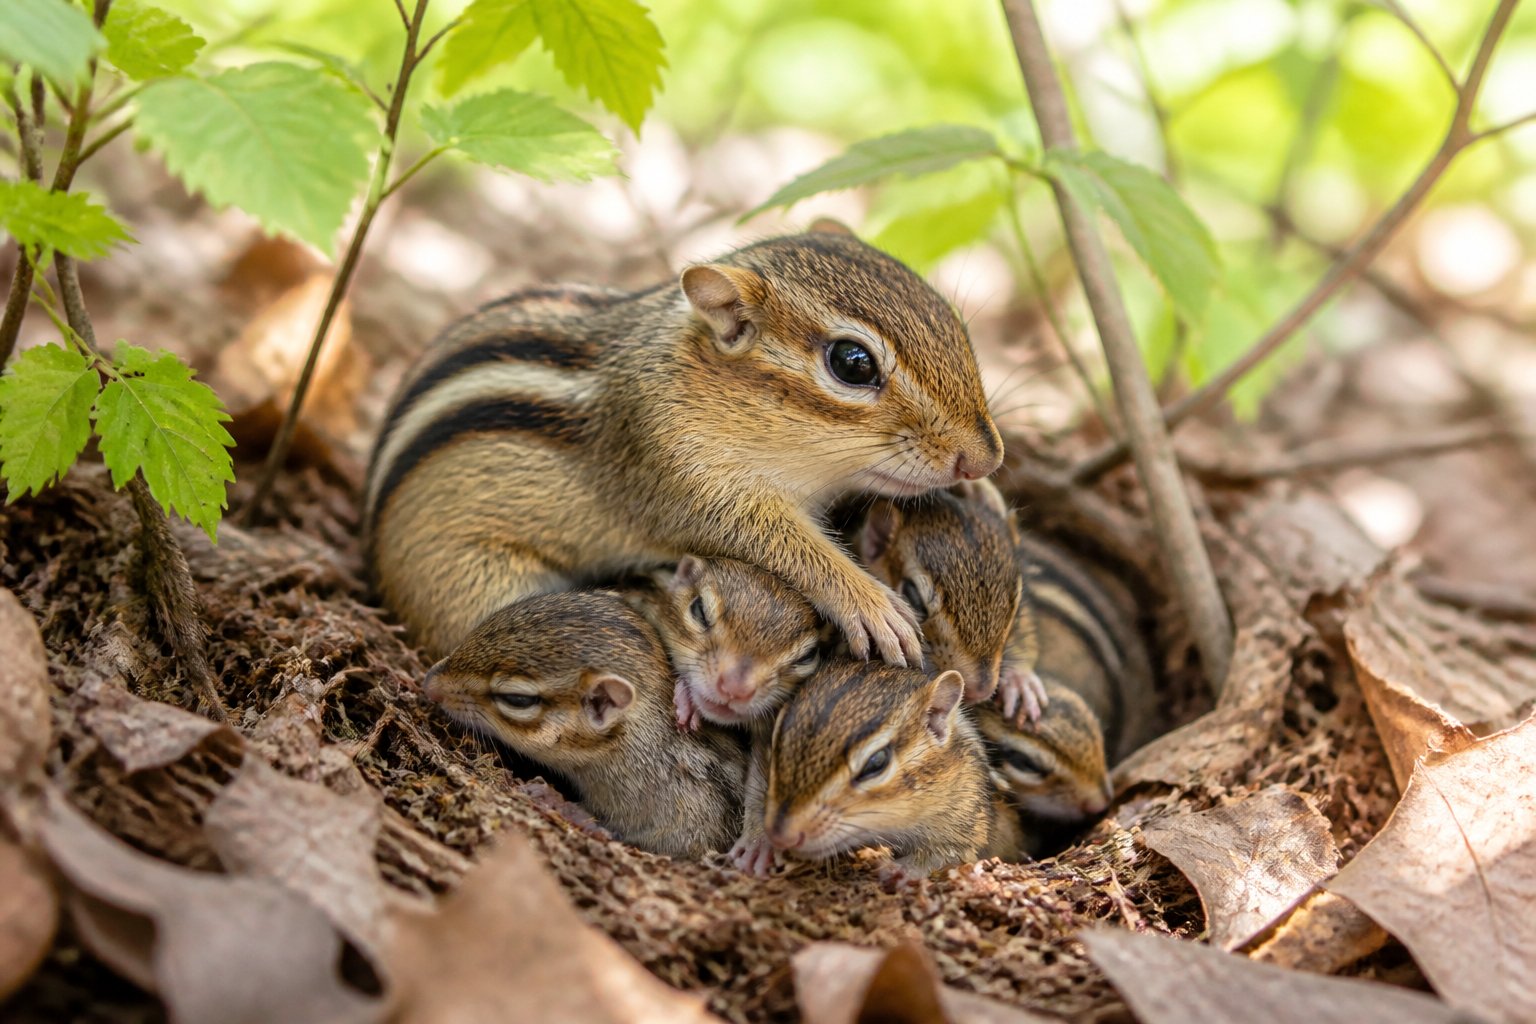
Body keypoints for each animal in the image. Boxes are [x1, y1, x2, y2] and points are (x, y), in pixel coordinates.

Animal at [363, 222, 1004, 662]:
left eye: (952, 319)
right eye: (852, 363)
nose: (983, 458)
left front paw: (986, 496)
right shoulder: (681, 473)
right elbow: (785, 547)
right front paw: (870, 604)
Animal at [763, 660, 1023, 877]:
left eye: (877, 763)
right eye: (777, 739)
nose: (781, 835)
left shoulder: (967, 820)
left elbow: (947, 855)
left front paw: (897, 869)